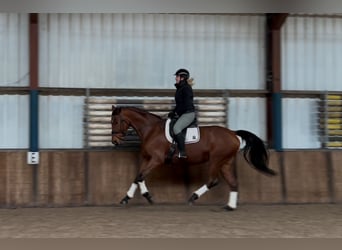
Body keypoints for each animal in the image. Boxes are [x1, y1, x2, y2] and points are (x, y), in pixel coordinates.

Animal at [111, 105, 276, 211]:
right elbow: (138, 176)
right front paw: (132, 197)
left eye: (116, 121)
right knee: (233, 183)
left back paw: (193, 197)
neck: (151, 129)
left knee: (213, 180)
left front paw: (142, 197)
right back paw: (230, 207)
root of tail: (233, 133)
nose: (115, 141)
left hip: (216, 160)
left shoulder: (156, 159)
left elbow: (140, 176)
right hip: (226, 163)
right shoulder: (148, 159)